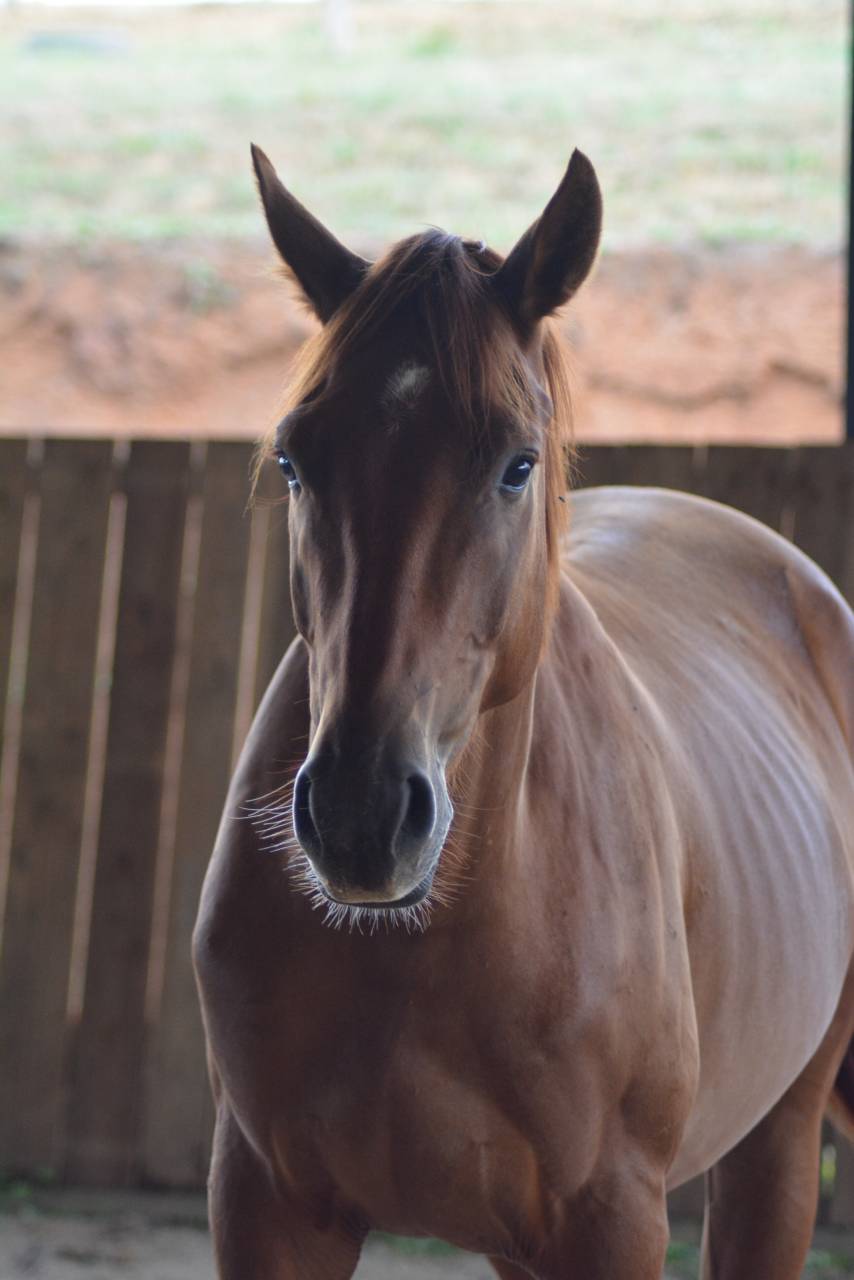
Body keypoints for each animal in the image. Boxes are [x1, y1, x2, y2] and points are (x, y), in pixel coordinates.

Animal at [193, 144, 854, 1279]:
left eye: (515, 464)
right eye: (292, 458)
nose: (364, 816)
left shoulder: (612, 1219)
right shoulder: (268, 1204)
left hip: (778, 1140)